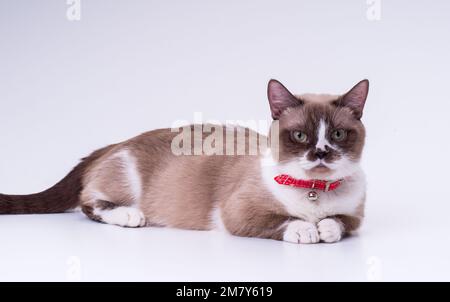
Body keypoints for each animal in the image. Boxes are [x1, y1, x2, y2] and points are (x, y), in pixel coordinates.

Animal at [0, 79, 370, 244]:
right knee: (89, 203)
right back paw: (131, 216)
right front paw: (306, 229)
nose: (321, 152)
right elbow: (285, 221)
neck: (314, 190)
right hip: (125, 178)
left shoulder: (354, 217)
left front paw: (323, 227)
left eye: (338, 134)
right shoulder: (239, 214)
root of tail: (117, 142)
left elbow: (337, 223)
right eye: (300, 136)